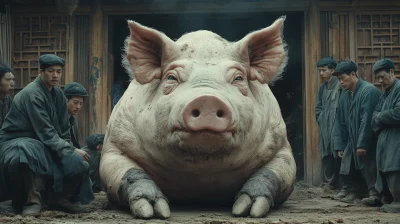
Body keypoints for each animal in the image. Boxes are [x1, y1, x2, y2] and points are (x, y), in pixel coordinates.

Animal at [101, 16, 296, 220]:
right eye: (171, 77)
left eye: (239, 78)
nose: (207, 99)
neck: (200, 178)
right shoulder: (115, 144)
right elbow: (130, 172)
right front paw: (153, 212)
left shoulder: (280, 146)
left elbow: (272, 173)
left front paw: (248, 210)